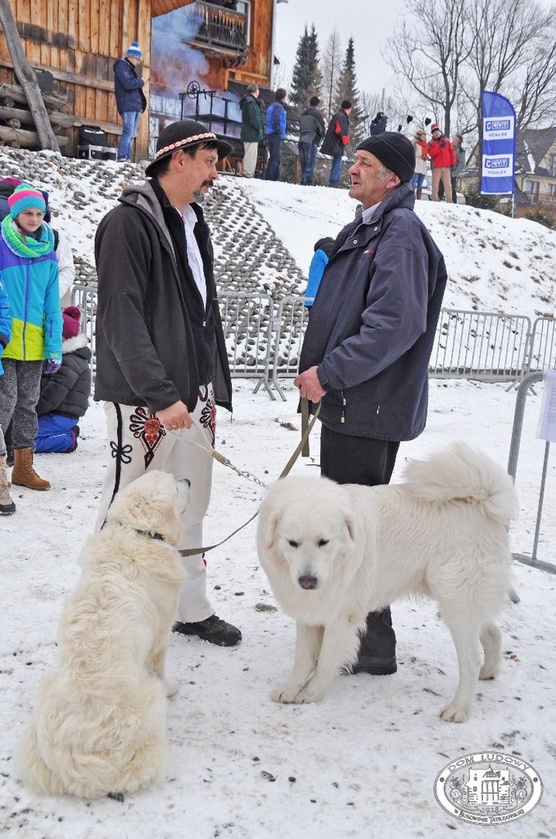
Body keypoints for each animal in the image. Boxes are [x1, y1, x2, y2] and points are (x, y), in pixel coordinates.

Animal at [17, 472, 191, 800]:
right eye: (175, 485)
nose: (187, 479)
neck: (138, 535)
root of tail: (84, 772)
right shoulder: (161, 633)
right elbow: (160, 664)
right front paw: (172, 684)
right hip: (150, 703)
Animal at [256, 442, 516, 724]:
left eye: (323, 542)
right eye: (292, 543)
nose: (307, 581)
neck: (339, 557)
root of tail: (482, 503)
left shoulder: (340, 618)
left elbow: (325, 661)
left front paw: (311, 693)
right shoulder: (309, 611)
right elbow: (302, 659)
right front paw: (290, 688)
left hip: (456, 603)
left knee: (470, 659)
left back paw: (458, 708)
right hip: (463, 601)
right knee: (492, 632)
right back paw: (489, 671)